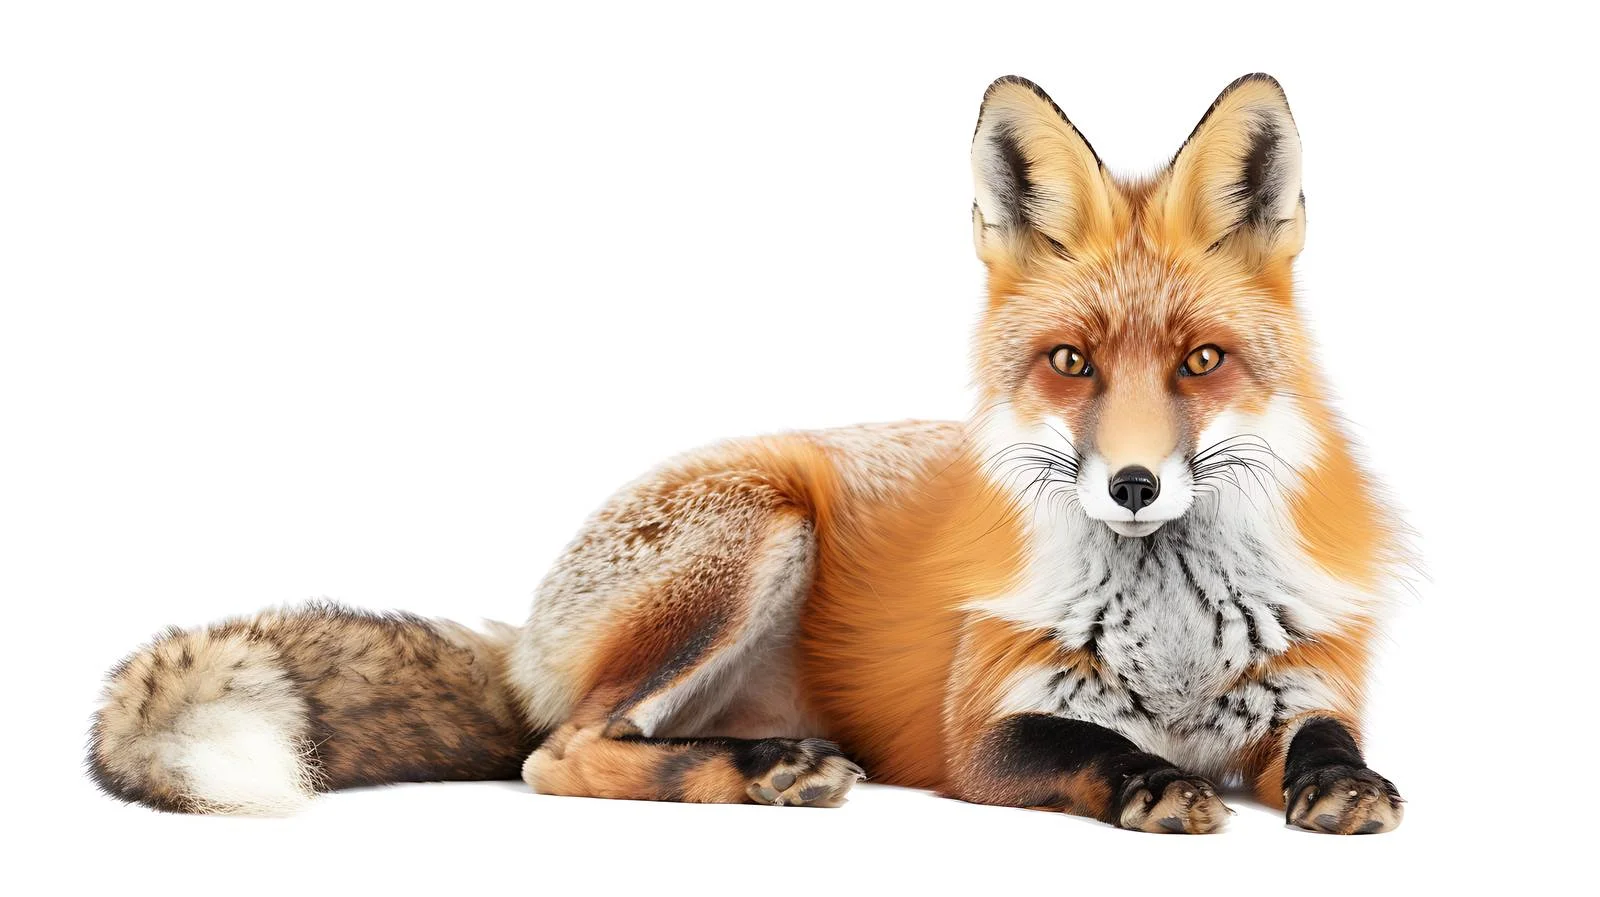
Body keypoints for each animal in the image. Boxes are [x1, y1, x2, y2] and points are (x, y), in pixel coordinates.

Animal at [88, 74, 1407, 834]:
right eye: (1072, 362)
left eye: (1201, 362)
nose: (1133, 486)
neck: (1173, 639)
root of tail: (532, 636)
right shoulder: (979, 729)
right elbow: (1087, 746)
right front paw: (1148, 782)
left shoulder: (1308, 684)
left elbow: (1326, 741)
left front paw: (1338, 784)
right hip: (753, 536)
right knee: (559, 757)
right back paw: (763, 770)